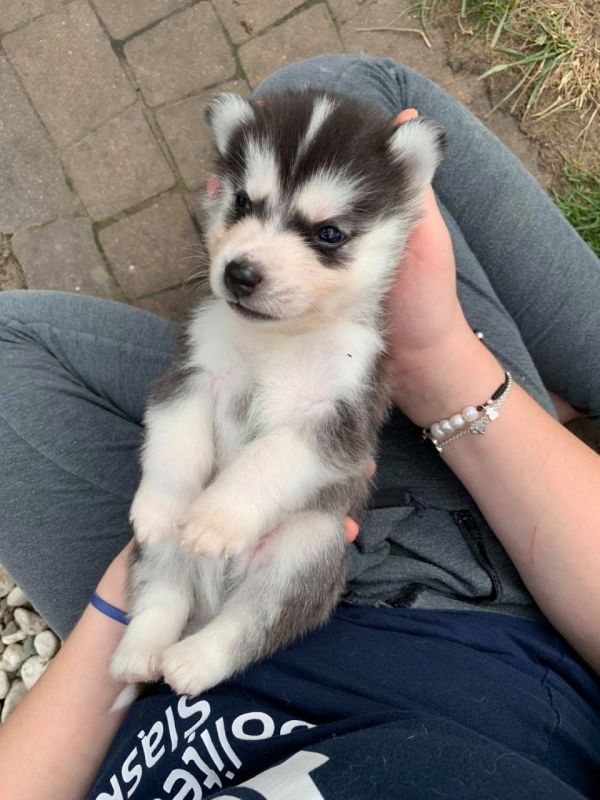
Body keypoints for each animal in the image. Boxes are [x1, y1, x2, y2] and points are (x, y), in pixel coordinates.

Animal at [109, 88, 445, 701]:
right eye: (243, 202)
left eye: (329, 233)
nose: (240, 273)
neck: (279, 339)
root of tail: (210, 600)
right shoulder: (191, 373)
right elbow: (175, 445)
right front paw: (168, 504)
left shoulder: (337, 421)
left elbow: (267, 460)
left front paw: (216, 520)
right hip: (159, 559)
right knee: (162, 594)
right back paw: (139, 653)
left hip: (306, 549)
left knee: (250, 624)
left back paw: (192, 660)